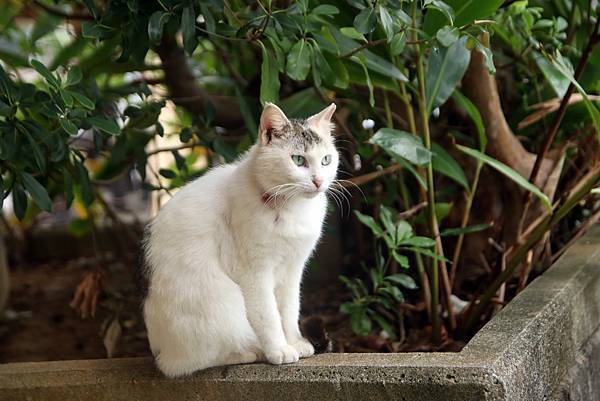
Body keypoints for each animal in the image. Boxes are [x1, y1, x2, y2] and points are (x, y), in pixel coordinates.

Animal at [138, 101, 340, 376]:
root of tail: (159, 350)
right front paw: (280, 350)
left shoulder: (292, 270)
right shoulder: (254, 272)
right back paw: (251, 352)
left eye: (326, 160)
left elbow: (289, 310)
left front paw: (296, 342)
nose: (319, 181)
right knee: (188, 364)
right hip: (224, 304)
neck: (291, 207)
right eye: (298, 160)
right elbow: (268, 314)